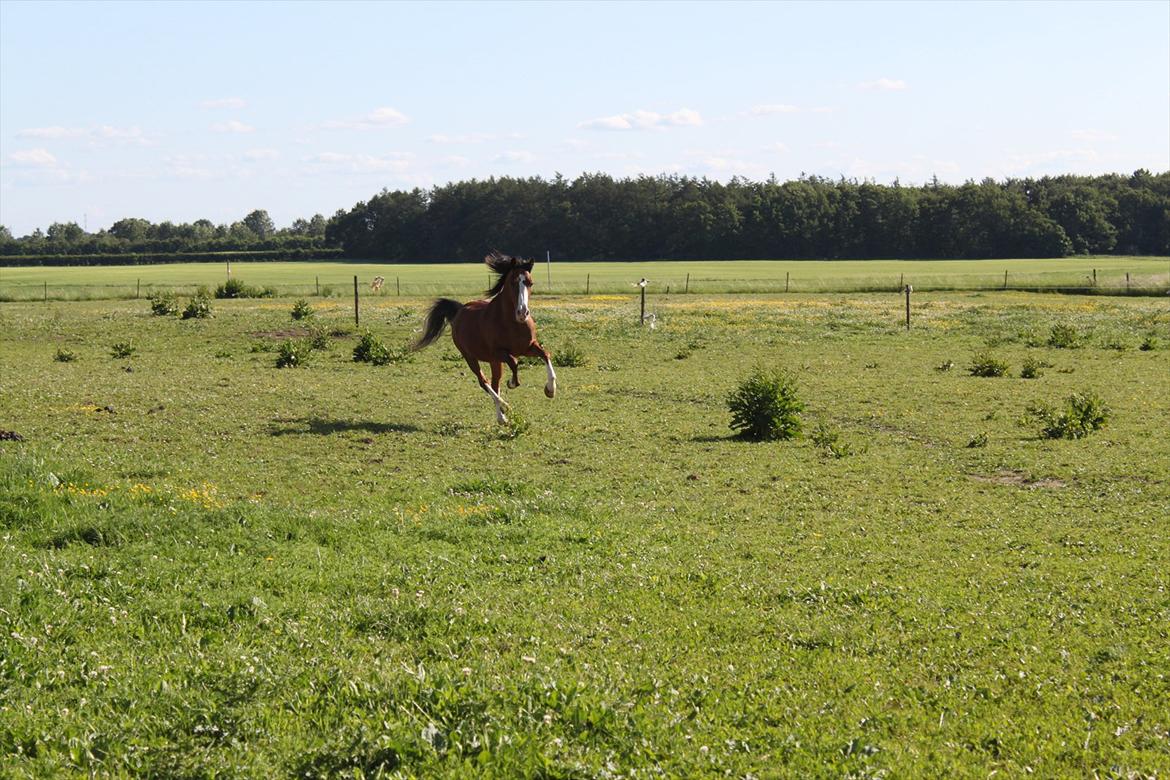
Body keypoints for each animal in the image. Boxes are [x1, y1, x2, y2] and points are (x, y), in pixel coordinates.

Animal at [414, 253, 554, 423]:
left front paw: (550, 390)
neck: (512, 323)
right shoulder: (499, 353)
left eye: (530, 283)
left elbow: (545, 355)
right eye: (513, 282)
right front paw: (512, 383)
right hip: (470, 357)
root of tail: (459, 310)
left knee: (494, 384)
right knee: (484, 382)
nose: (522, 313)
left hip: (494, 362)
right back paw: (504, 410)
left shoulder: (528, 347)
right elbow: (514, 363)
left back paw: (502, 414)